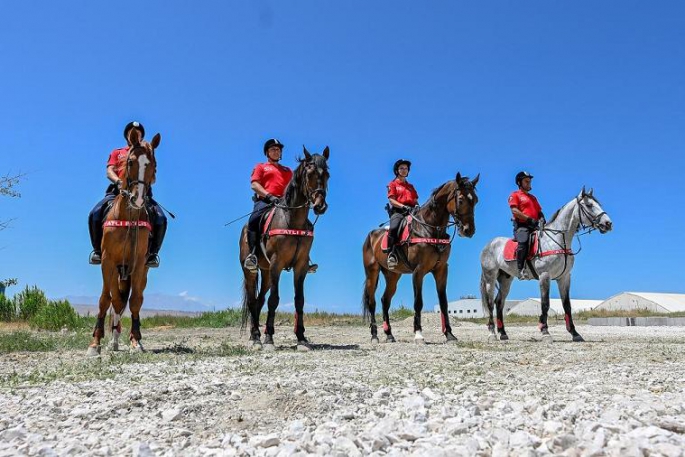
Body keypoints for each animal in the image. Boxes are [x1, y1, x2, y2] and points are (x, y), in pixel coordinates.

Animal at [239, 145, 330, 350]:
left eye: (327, 174)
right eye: (309, 173)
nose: (320, 206)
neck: (292, 220)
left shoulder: (300, 266)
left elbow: (299, 300)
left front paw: (301, 338)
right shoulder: (276, 264)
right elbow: (274, 300)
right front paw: (269, 339)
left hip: (265, 274)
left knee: (258, 301)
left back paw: (256, 335)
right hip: (251, 272)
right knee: (252, 300)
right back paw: (256, 337)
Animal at [360, 173, 478, 344]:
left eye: (475, 200)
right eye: (461, 200)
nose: (469, 230)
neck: (431, 229)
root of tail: (370, 236)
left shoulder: (441, 270)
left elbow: (444, 303)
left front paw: (450, 335)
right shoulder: (418, 271)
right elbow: (418, 302)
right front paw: (418, 334)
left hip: (393, 276)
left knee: (385, 300)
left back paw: (389, 334)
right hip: (372, 273)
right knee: (372, 302)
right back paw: (375, 336)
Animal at [478, 187, 612, 340]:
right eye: (589, 205)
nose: (608, 224)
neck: (558, 239)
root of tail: (489, 245)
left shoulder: (564, 277)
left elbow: (567, 305)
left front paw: (574, 333)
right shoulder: (545, 275)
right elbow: (545, 303)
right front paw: (545, 331)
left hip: (506, 279)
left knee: (499, 302)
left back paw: (503, 333)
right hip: (490, 277)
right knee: (490, 303)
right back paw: (492, 333)